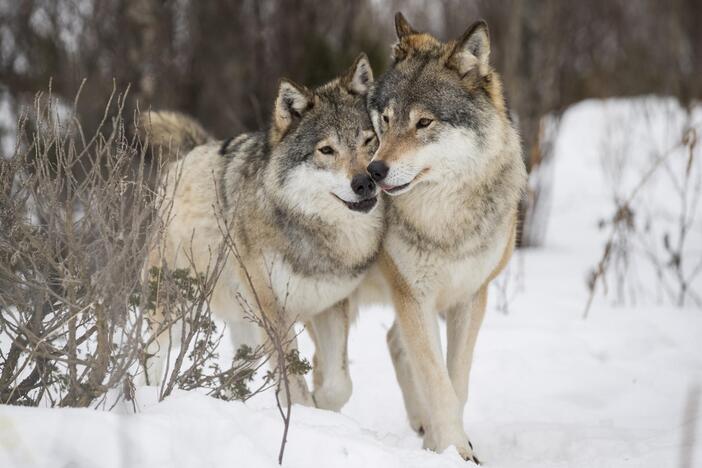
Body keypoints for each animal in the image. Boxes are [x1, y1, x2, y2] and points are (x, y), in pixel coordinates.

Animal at [144, 54, 384, 412]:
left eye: (368, 141)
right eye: (326, 150)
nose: (365, 182)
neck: (315, 232)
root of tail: (187, 154)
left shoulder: (330, 306)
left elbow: (339, 384)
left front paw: (324, 407)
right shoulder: (275, 314)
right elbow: (295, 387)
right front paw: (306, 414)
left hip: (246, 329)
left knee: (236, 370)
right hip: (177, 311)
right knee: (149, 355)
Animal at [368, 13, 528, 460]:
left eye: (424, 122)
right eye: (386, 119)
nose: (373, 171)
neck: (444, 221)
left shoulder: (470, 297)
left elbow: (456, 381)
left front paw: (452, 447)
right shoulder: (414, 296)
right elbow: (437, 381)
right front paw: (454, 450)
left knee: (393, 341)